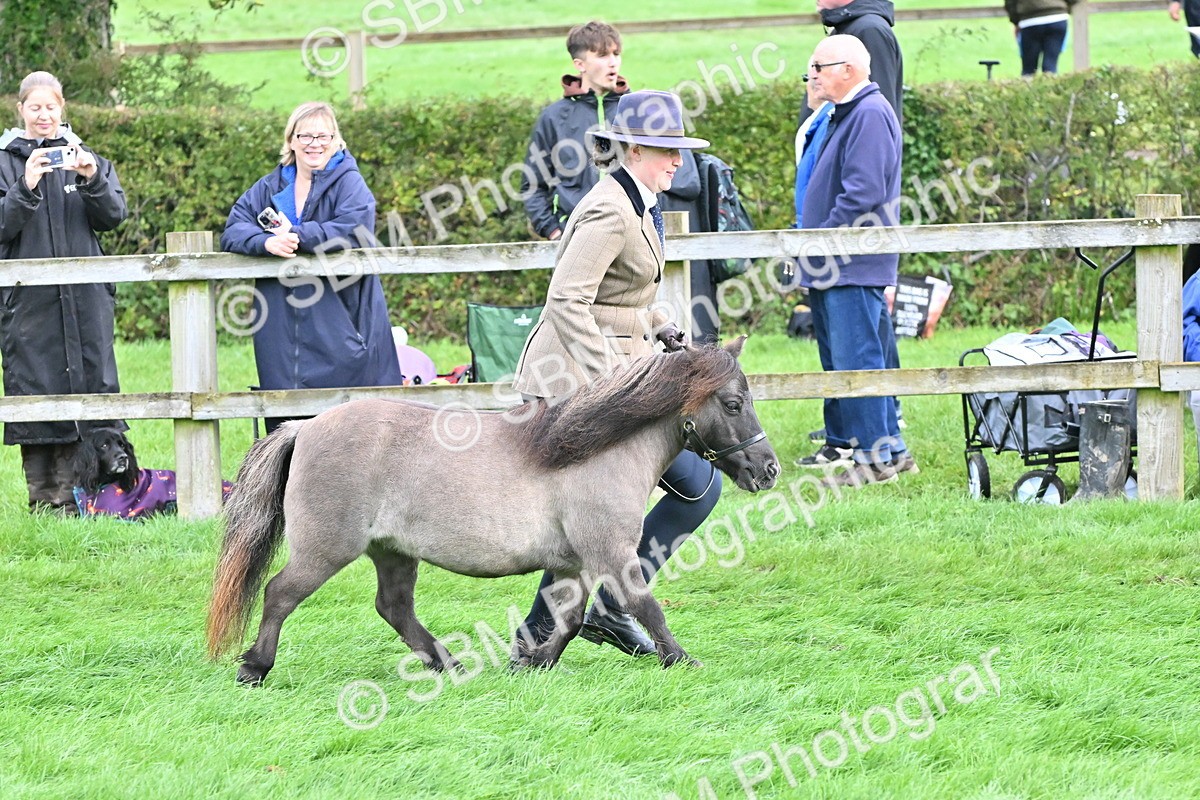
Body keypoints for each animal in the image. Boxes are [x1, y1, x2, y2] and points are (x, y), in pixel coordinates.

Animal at [206, 338, 779, 686]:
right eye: (733, 403)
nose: (768, 469)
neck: (594, 451)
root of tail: (304, 428)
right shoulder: (612, 553)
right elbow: (646, 606)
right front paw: (682, 659)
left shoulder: (576, 563)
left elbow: (569, 619)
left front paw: (532, 661)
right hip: (326, 549)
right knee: (280, 593)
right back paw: (254, 668)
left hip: (392, 552)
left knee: (394, 607)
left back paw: (450, 664)